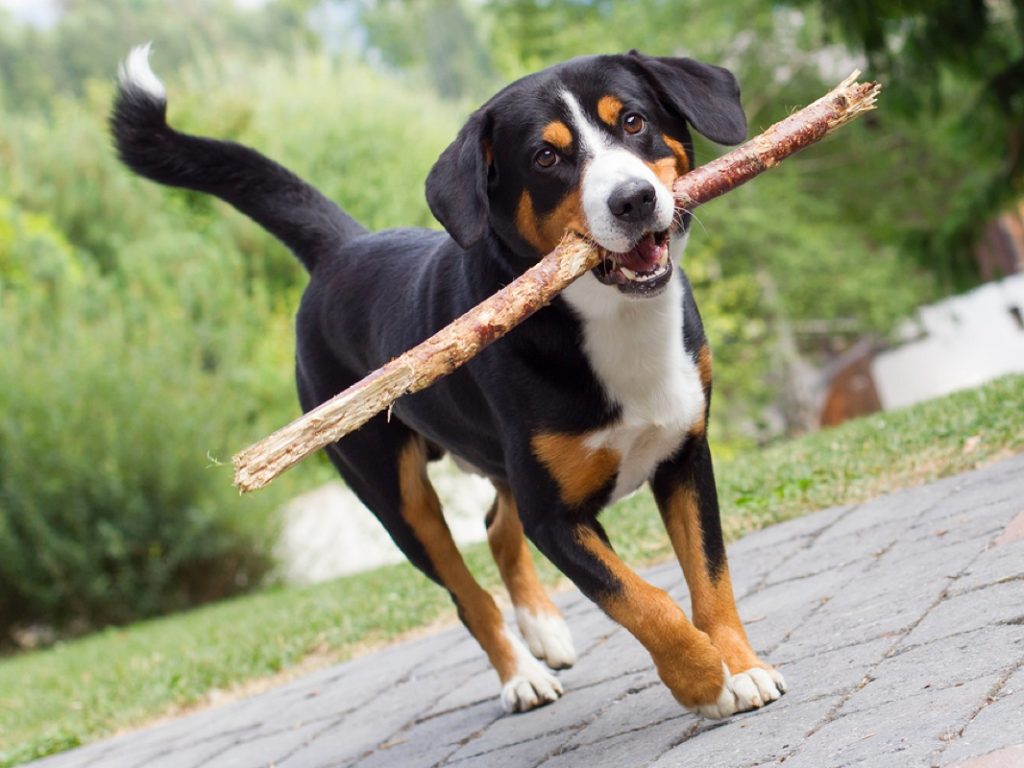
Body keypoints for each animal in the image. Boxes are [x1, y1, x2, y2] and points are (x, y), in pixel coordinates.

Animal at [112, 41, 782, 720]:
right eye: (546, 157)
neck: (613, 323)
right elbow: (643, 600)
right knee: (469, 594)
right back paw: (522, 675)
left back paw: (544, 627)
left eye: (633, 121)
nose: (632, 199)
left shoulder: (683, 456)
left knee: (496, 531)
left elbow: (710, 576)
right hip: (399, 499)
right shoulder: (553, 516)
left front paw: (742, 666)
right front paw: (700, 677)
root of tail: (341, 249)